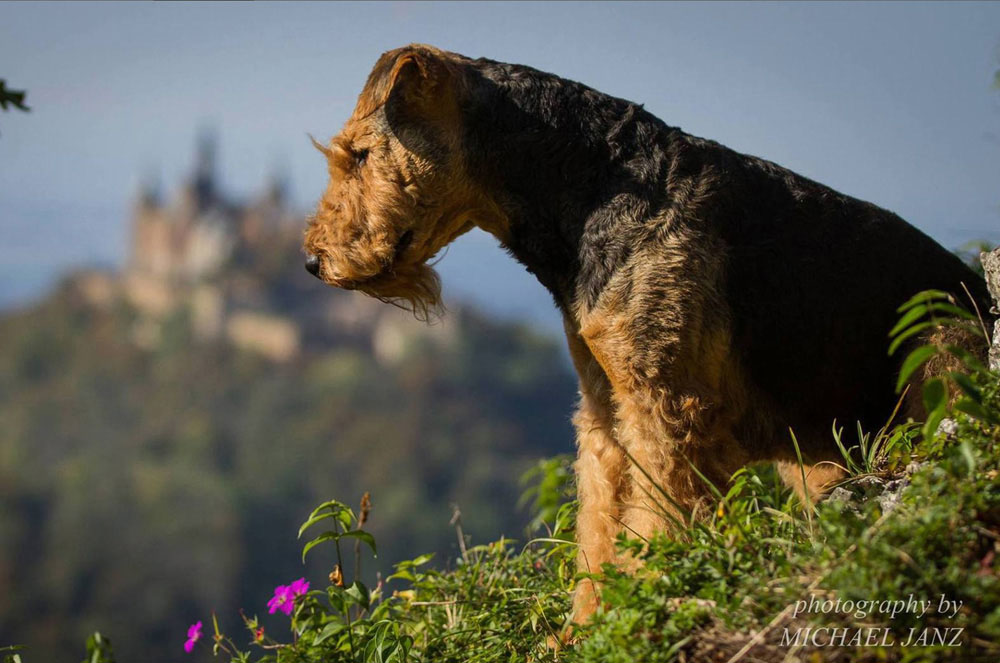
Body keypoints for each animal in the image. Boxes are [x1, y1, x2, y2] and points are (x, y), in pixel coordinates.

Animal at [302, 45, 992, 624]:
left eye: (359, 153)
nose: (312, 260)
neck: (591, 188)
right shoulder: (607, 409)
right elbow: (601, 530)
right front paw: (579, 631)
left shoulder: (668, 409)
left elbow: (658, 525)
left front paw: (650, 604)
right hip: (817, 456)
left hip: (940, 356)